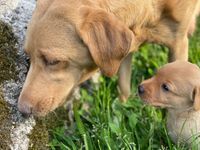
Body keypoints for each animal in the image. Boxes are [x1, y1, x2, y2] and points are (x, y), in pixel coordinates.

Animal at [19, 0, 200, 116]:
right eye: (28, 58)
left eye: (53, 61)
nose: (22, 111)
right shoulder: (127, 45)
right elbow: (124, 86)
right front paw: (123, 109)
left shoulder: (178, 43)